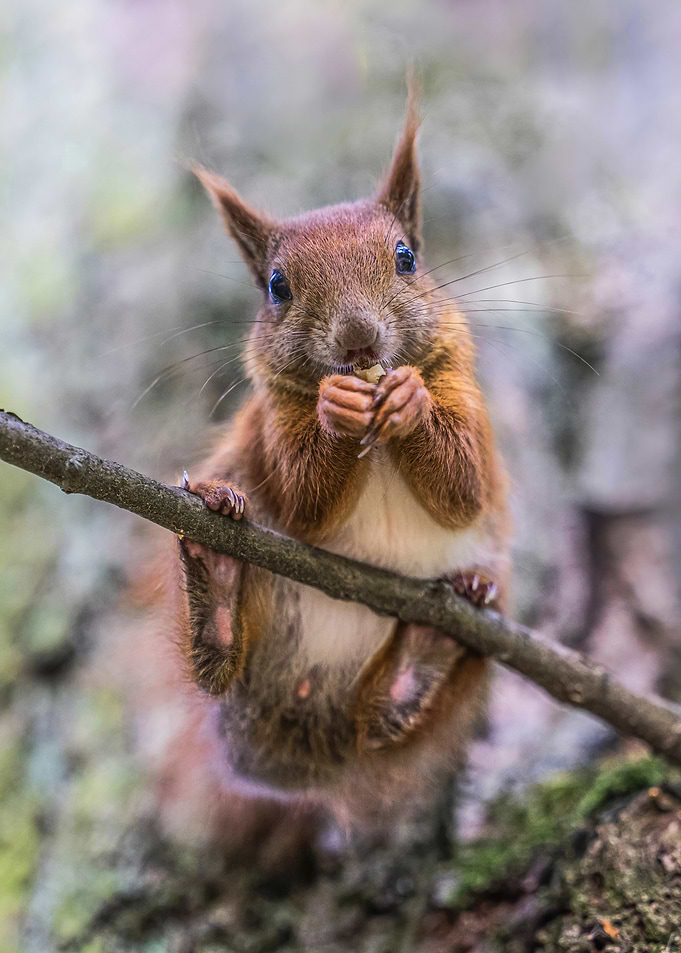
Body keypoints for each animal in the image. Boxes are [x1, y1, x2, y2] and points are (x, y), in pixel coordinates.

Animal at [173, 93, 510, 819]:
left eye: (406, 257)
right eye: (277, 286)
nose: (359, 340)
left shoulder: (464, 392)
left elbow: (465, 487)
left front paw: (408, 398)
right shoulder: (270, 420)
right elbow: (304, 506)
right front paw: (336, 411)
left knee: (382, 723)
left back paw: (434, 640)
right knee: (221, 666)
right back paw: (216, 566)